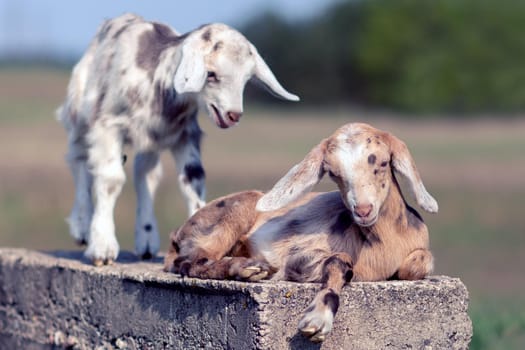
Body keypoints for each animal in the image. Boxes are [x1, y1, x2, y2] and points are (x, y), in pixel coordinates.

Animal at [57, 13, 298, 266]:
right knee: (79, 160)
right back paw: (81, 227)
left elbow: (193, 179)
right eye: (211, 74)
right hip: (79, 110)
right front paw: (102, 248)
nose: (233, 115)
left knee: (145, 173)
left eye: (247, 79)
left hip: (151, 138)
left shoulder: (186, 134)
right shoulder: (107, 126)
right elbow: (111, 180)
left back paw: (146, 238)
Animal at [164, 122, 438, 342]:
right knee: (189, 262)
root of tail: (176, 234)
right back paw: (247, 268)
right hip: (231, 215)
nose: (362, 209)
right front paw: (317, 320)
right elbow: (335, 262)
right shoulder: (304, 256)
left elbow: (418, 263)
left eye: (383, 162)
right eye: (333, 173)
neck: (386, 244)